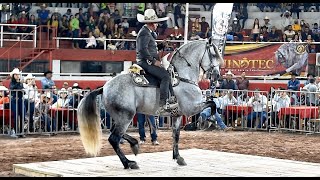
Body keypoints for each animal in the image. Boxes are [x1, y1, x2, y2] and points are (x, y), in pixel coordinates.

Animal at [76, 38, 224, 169]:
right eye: (213, 54)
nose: (217, 75)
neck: (182, 77)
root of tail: (104, 87)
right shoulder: (191, 108)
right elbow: (212, 104)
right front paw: (208, 120)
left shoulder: (177, 115)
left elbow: (176, 135)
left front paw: (178, 157)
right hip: (126, 116)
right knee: (114, 138)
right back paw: (129, 163)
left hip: (120, 117)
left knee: (114, 132)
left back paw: (134, 144)